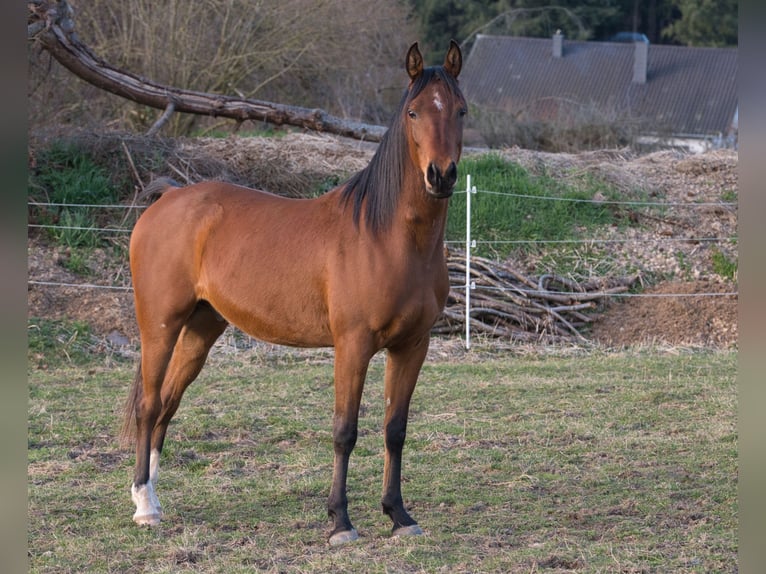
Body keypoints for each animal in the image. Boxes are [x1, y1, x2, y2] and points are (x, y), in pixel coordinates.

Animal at [121, 40, 466, 545]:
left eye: (461, 110)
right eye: (414, 112)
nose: (440, 176)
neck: (387, 237)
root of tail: (169, 197)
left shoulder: (411, 346)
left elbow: (395, 430)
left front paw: (398, 515)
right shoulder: (353, 345)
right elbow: (345, 431)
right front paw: (340, 523)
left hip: (201, 328)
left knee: (167, 403)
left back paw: (153, 497)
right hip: (160, 325)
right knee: (148, 405)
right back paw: (145, 507)